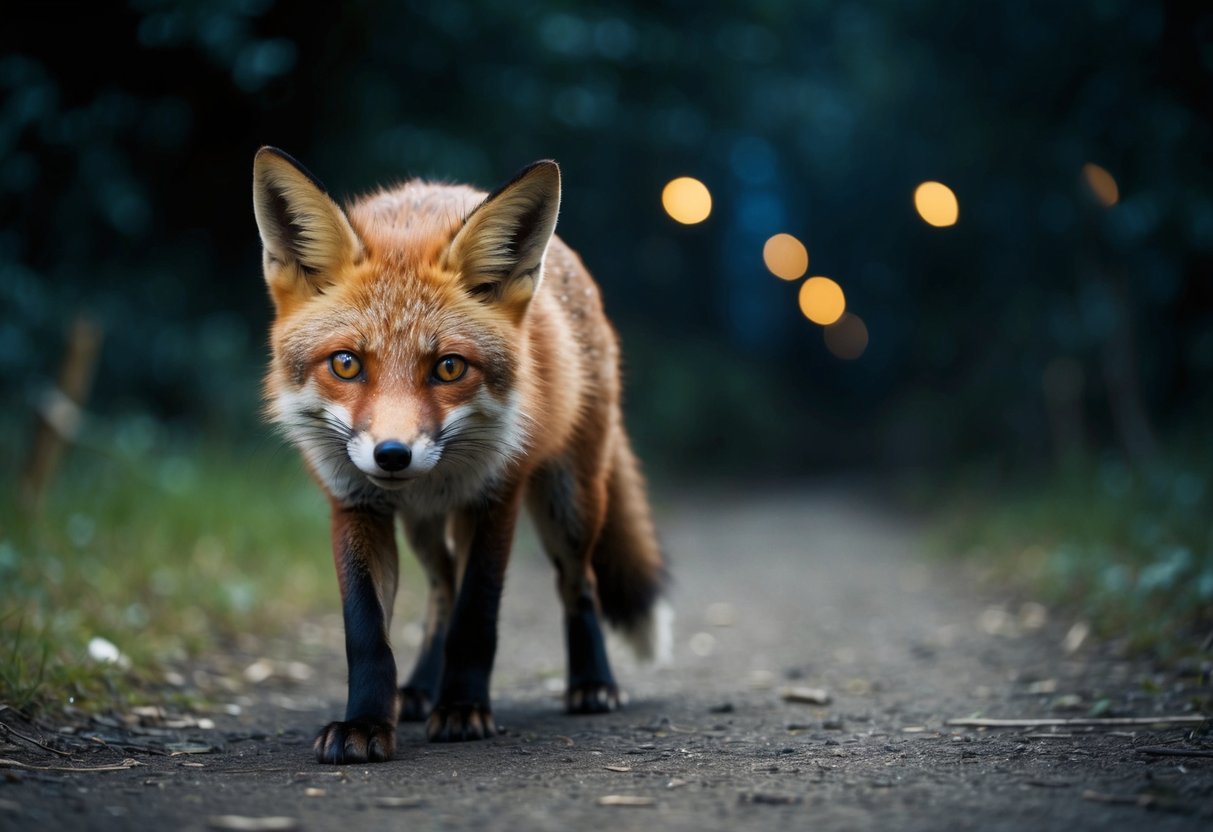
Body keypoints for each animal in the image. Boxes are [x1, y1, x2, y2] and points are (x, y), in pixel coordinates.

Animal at [251, 147, 671, 764]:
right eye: (346, 364)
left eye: (449, 367)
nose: (393, 455)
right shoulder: (353, 504)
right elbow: (368, 632)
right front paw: (367, 722)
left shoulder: (496, 498)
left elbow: (477, 616)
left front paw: (464, 709)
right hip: (424, 528)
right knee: (441, 590)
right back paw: (419, 689)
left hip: (569, 502)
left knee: (579, 582)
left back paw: (591, 683)